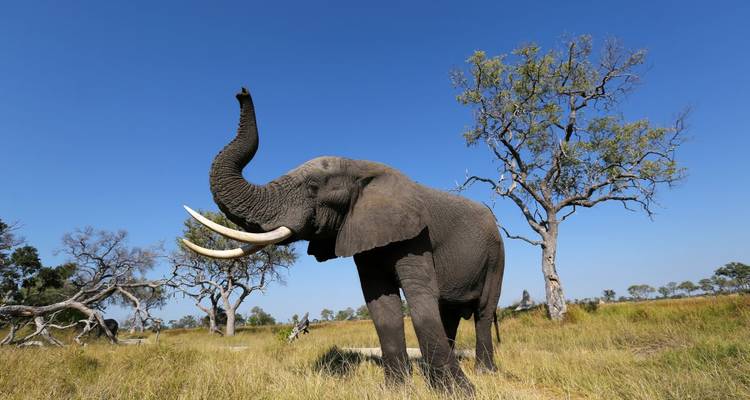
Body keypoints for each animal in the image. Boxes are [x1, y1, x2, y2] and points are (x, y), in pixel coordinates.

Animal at [181, 88, 504, 393]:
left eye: (313, 187)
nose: (242, 92)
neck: (361, 168)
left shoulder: (415, 236)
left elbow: (420, 300)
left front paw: (460, 392)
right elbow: (381, 306)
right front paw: (396, 389)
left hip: (496, 255)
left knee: (483, 312)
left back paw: (484, 373)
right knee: (449, 313)